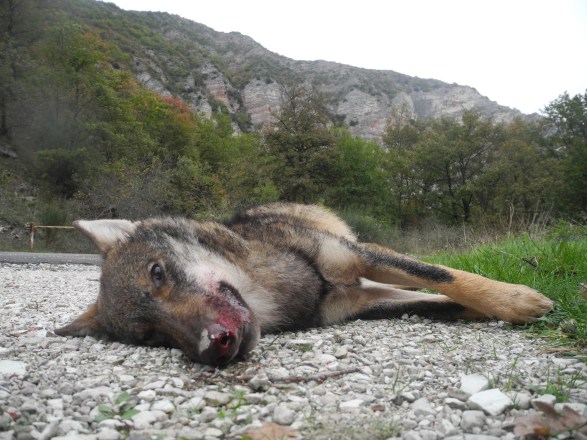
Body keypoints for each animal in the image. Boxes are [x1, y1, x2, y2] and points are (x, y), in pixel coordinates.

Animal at [55, 203, 553, 365]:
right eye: (152, 337)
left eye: (157, 273)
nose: (210, 348)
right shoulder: (362, 300)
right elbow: (436, 300)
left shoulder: (361, 258)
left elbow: (445, 276)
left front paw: (516, 298)